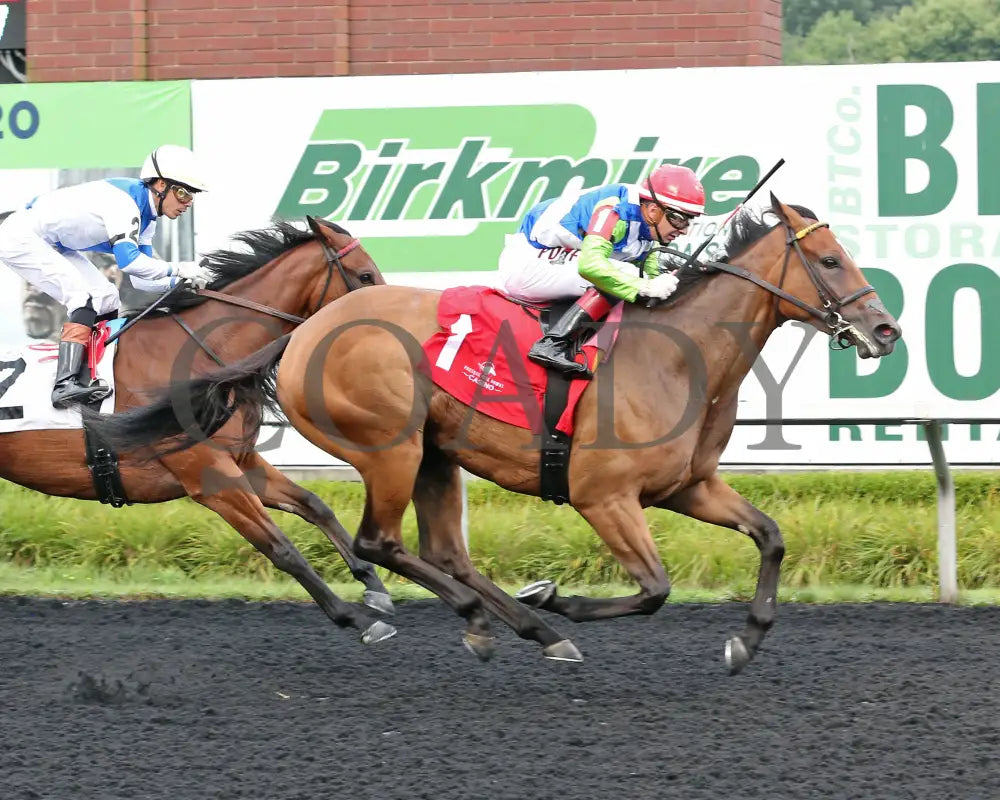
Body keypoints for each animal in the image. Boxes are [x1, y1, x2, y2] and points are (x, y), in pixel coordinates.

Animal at [2, 216, 394, 648]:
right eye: (364, 275)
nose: (393, 326)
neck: (199, 355)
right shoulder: (211, 478)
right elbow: (281, 547)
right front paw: (355, 618)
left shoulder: (240, 460)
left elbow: (313, 504)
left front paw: (375, 586)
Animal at [86, 197, 904, 672]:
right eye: (830, 260)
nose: (885, 331)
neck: (682, 353)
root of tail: (298, 334)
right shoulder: (604, 496)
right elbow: (654, 590)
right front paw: (561, 599)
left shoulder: (688, 486)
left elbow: (770, 536)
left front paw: (746, 639)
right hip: (386, 446)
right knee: (380, 541)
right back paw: (503, 618)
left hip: (435, 453)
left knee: (440, 550)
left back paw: (512, 624)